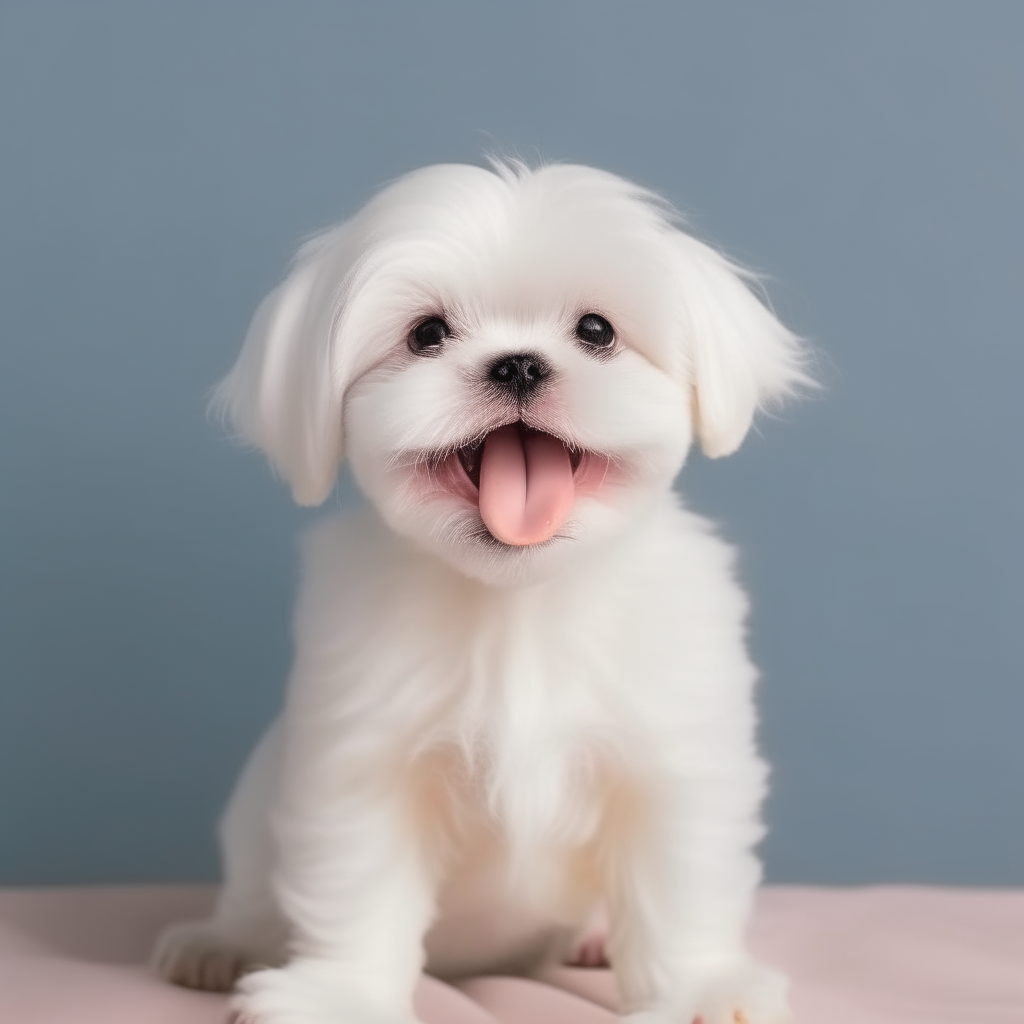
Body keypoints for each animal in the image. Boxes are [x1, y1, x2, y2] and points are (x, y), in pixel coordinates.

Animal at [153, 161, 806, 1024]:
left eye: (596, 331)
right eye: (426, 334)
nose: (518, 362)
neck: (521, 601)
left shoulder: (676, 759)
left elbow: (681, 888)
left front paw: (703, 987)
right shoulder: (360, 765)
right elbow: (356, 885)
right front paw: (339, 994)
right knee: (255, 901)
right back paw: (219, 943)